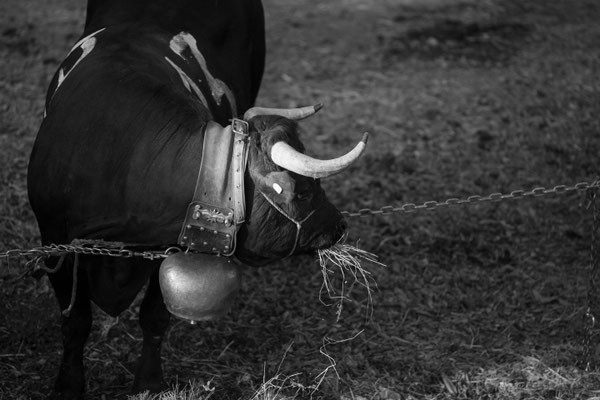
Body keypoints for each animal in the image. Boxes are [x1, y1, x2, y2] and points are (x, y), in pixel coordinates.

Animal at [27, 1, 366, 398]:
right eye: (304, 189)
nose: (340, 225)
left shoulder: (174, 241)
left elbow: (155, 315)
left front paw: (150, 381)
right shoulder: (54, 239)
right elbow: (75, 322)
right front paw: (68, 385)